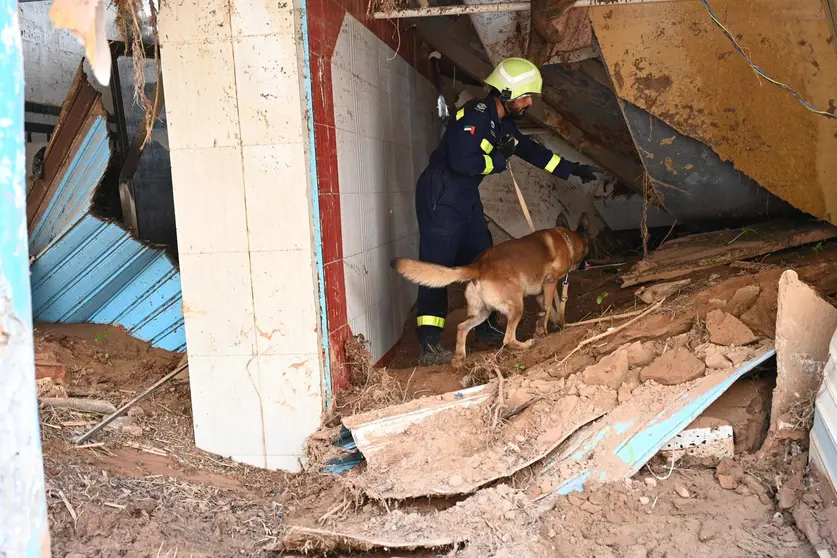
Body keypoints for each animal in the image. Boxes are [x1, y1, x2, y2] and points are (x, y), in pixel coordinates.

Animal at [392, 221, 588, 370]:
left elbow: (549, 311)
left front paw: (557, 324)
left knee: (462, 327)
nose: (587, 265)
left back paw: (459, 358)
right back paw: (525, 345)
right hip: (517, 306)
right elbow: (548, 309)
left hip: (482, 313)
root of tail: (479, 266)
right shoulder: (549, 282)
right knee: (508, 339)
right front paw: (544, 330)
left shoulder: (540, 293)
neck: (566, 239)